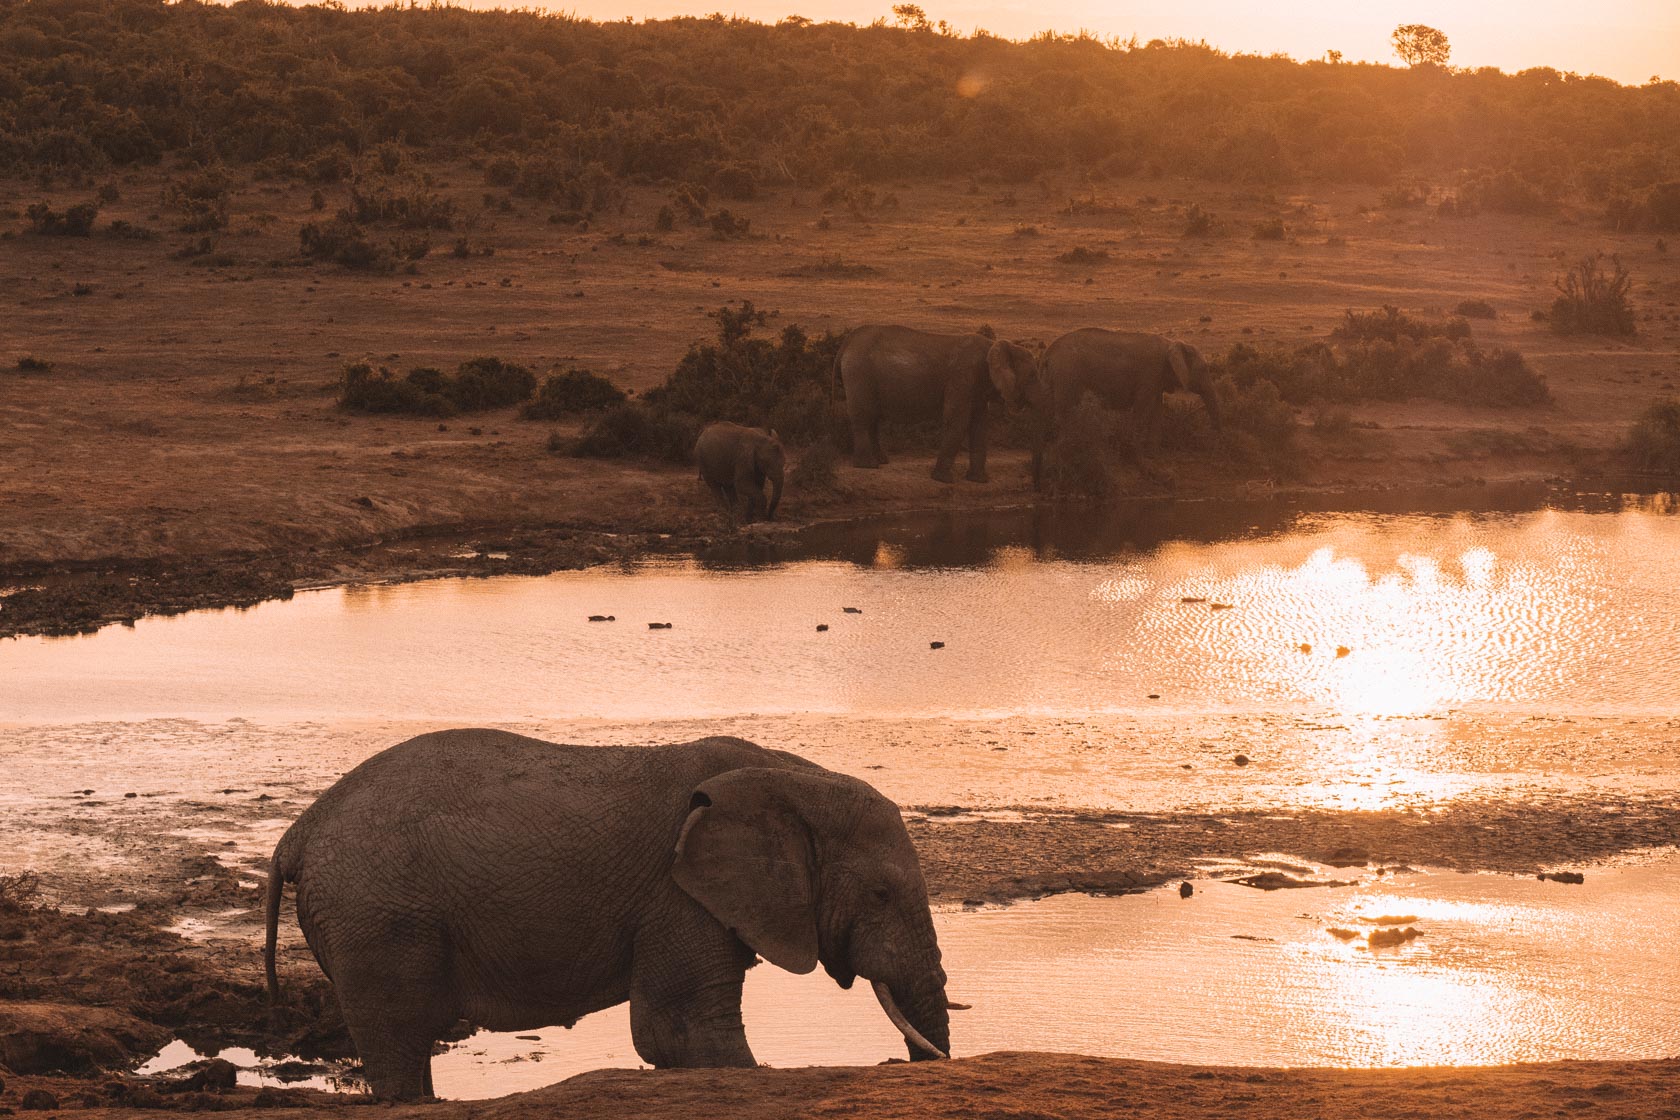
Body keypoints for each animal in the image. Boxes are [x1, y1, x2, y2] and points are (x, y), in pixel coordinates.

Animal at [258, 732, 947, 1101]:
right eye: (881, 895)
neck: (789, 779)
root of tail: (297, 834)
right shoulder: (677, 897)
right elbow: (680, 1031)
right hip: (379, 916)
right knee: (399, 1035)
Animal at [836, 322, 1034, 483]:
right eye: (1032, 378)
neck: (994, 345)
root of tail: (848, 340)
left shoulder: (976, 386)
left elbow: (979, 425)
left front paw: (979, 481)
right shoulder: (962, 377)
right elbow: (957, 422)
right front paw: (944, 480)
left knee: (873, 419)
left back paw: (880, 461)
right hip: (859, 373)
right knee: (863, 417)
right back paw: (867, 465)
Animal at [1034, 329, 1223, 486]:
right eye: (1204, 369)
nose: (1215, 445)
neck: (1172, 343)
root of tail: (1046, 356)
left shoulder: (1156, 380)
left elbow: (1156, 412)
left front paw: (1153, 458)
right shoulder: (1150, 374)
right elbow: (1142, 409)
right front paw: (1139, 460)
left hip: (1051, 379)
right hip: (1067, 376)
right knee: (1064, 414)